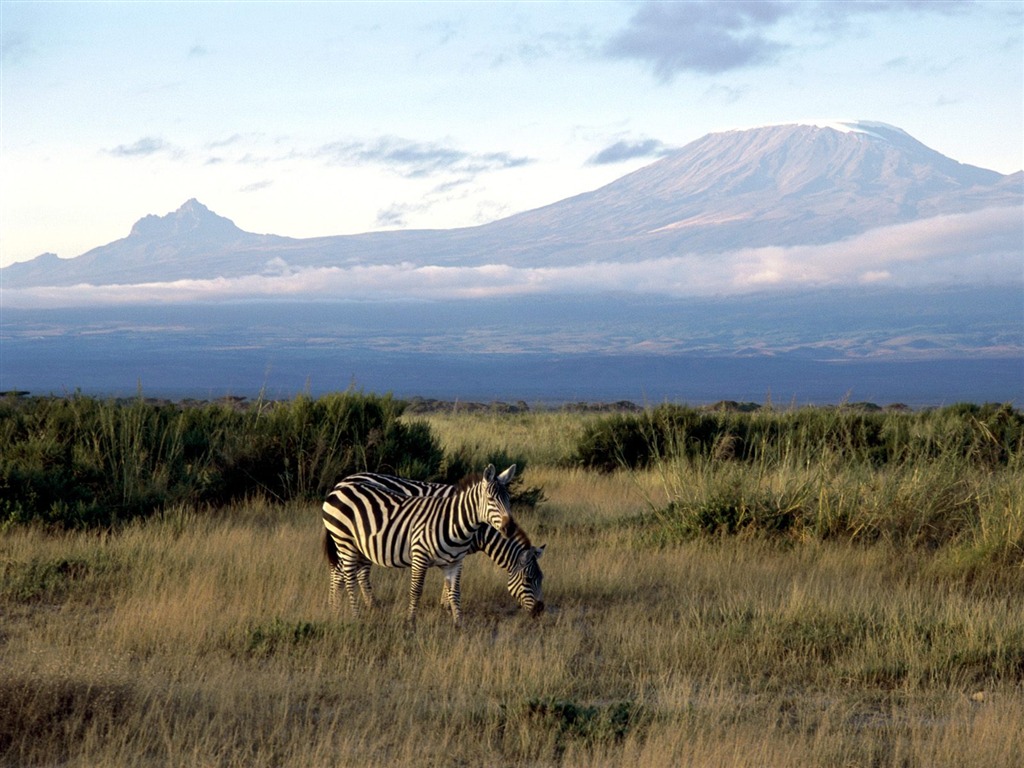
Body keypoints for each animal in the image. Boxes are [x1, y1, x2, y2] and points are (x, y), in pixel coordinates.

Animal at [323, 466, 520, 626]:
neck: (455, 522)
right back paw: (355, 616)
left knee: (343, 573)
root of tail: (340, 487)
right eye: (491, 499)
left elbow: (455, 592)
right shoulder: (420, 555)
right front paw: (411, 622)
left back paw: (336, 610)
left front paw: (458, 624)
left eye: (509, 499)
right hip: (344, 541)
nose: (510, 528)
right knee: (348, 578)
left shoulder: (455, 562)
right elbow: (416, 591)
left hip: (355, 545)